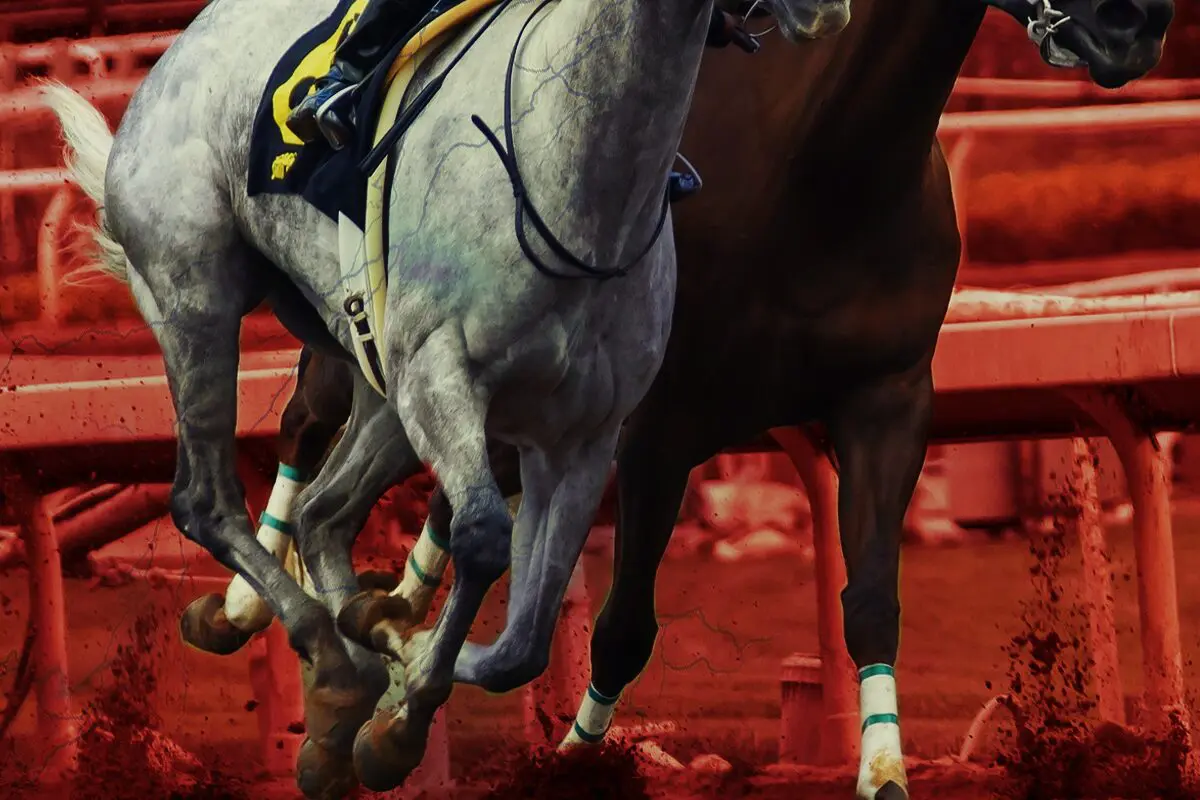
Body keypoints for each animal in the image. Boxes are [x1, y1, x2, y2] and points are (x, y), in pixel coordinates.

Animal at [43, 0, 847, 793]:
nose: (823, 13)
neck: (575, 172)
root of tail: (171, 59)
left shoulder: (581, 436)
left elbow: (524, 641)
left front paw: (395, 647)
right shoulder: (443, 375)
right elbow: (485, 537)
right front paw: (398, 717)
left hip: (375, 375)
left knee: (322, 513)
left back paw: (340, 698)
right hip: (195, 300)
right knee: (205, 499)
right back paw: (329, 660)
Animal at [184, 0, 1176, 797]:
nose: (1141, 22)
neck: (822, 165)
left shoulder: (887, 400)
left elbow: (871, 599)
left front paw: (883, 767)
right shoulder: (658, 425)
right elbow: (624, 626)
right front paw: (574, 758)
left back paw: (390, 618)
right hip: (356, 335)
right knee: (307, 432)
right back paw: (244, 610)